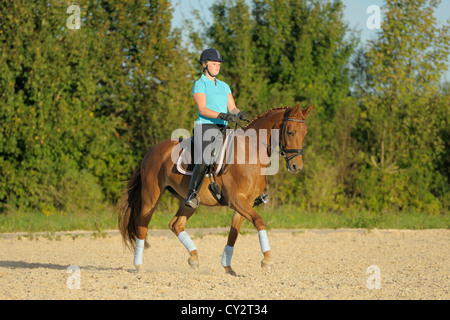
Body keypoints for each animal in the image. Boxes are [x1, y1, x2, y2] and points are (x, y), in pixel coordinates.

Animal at [116, 104, 312, 274]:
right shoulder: (237, 200)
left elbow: (233, 234)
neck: (251, 153)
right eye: (290, 131)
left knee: (176, 224)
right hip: (151, 196)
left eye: (304, 133)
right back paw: (139, 265)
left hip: (189, 201)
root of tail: (151, 152)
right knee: (142, 227)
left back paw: (194, 258)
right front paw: (267, 261)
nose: (297, 166)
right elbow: (259, 222)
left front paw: (227, 267)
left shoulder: (245, 203)